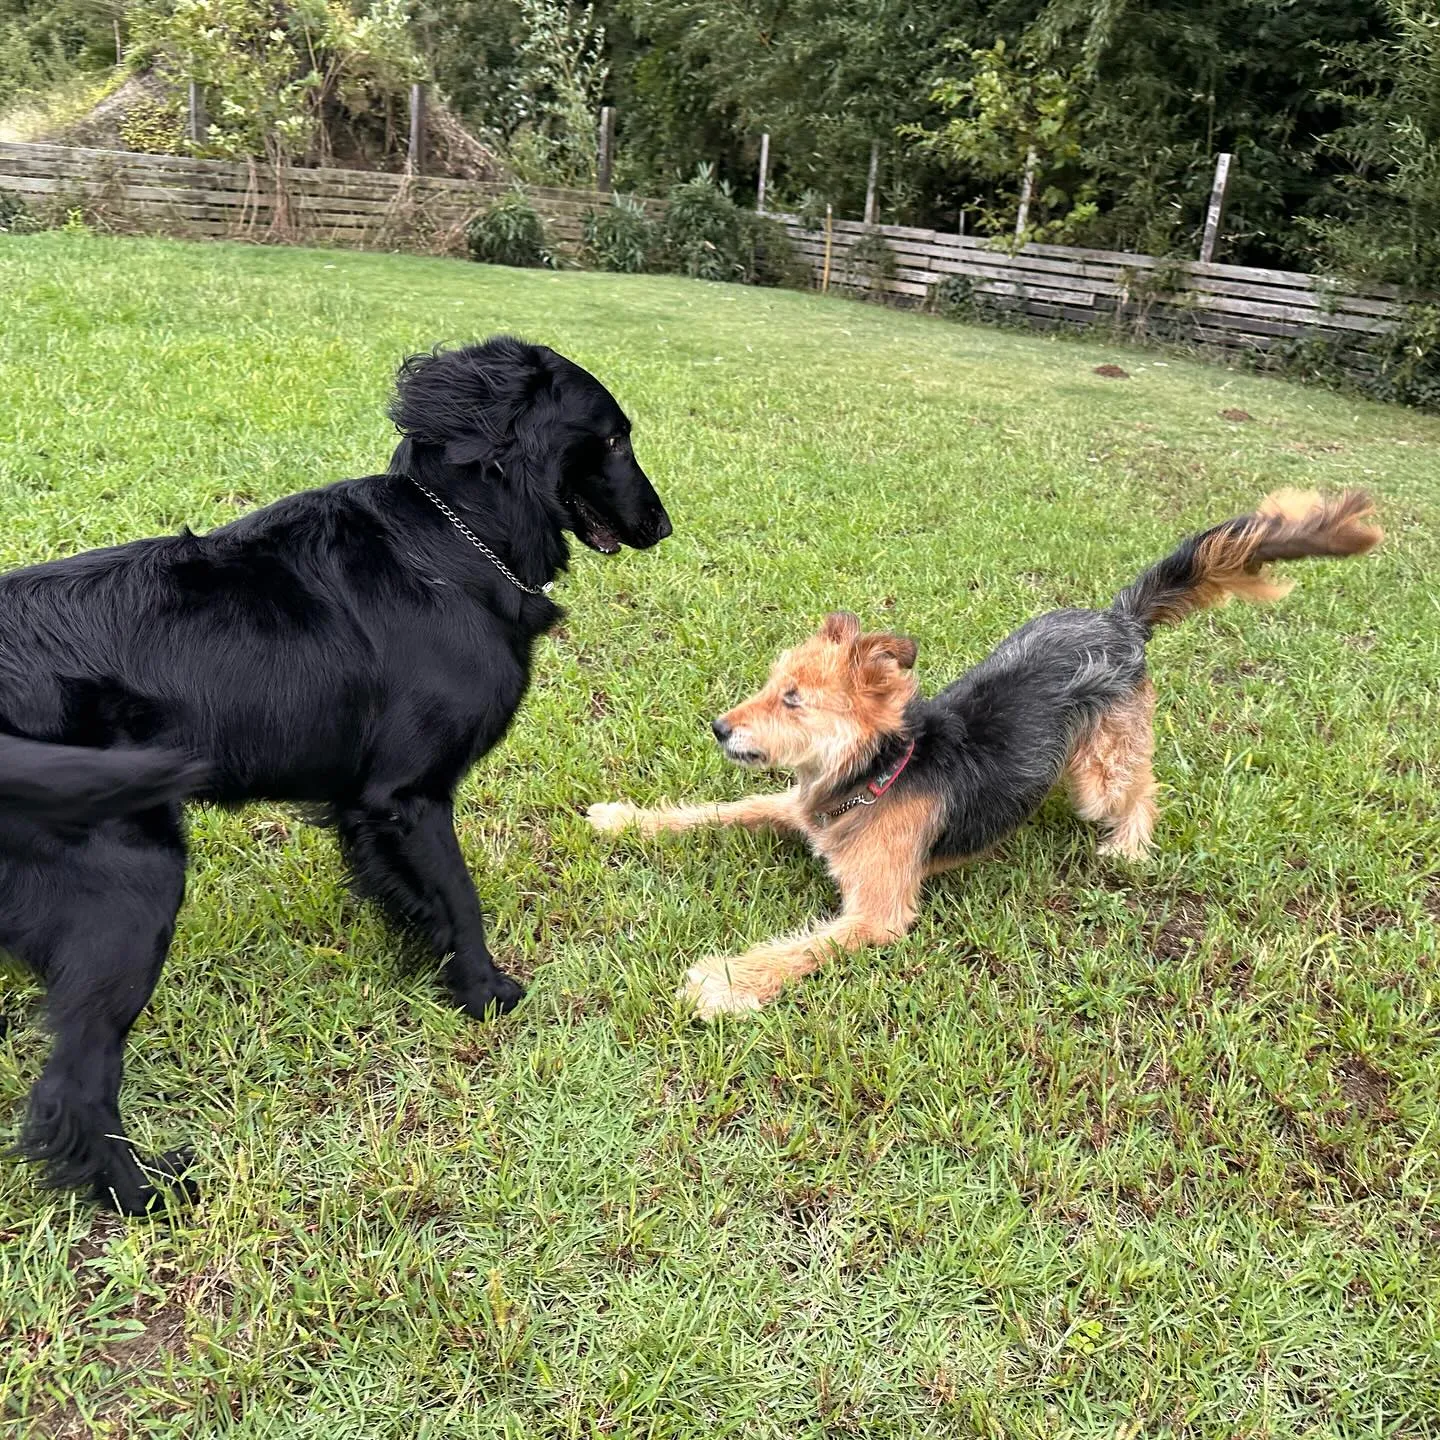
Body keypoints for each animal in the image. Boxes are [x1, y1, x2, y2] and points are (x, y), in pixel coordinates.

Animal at [0, 339, 673, 1215]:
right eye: (616, 439)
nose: (663, 524)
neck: (454, 542)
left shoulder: (365, 807)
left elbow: (415, 898)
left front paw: (433, 966)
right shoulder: (409, 797)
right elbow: (461, 898)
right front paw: (485, 993)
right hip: (132, 888)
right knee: (72, 1089)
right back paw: (143, 1195)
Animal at [590, 489, 1376, 1019]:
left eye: (793, 700)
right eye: (770, 685)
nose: (718, 728)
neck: (882, 771)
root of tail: (1118, 619)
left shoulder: (878, 914)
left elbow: (805, 946)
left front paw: (726, 980)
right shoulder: (787, 804)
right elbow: (714, 811)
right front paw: (625, 820)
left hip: (1098, 769)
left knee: (1141, 786)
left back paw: (1128, 848)